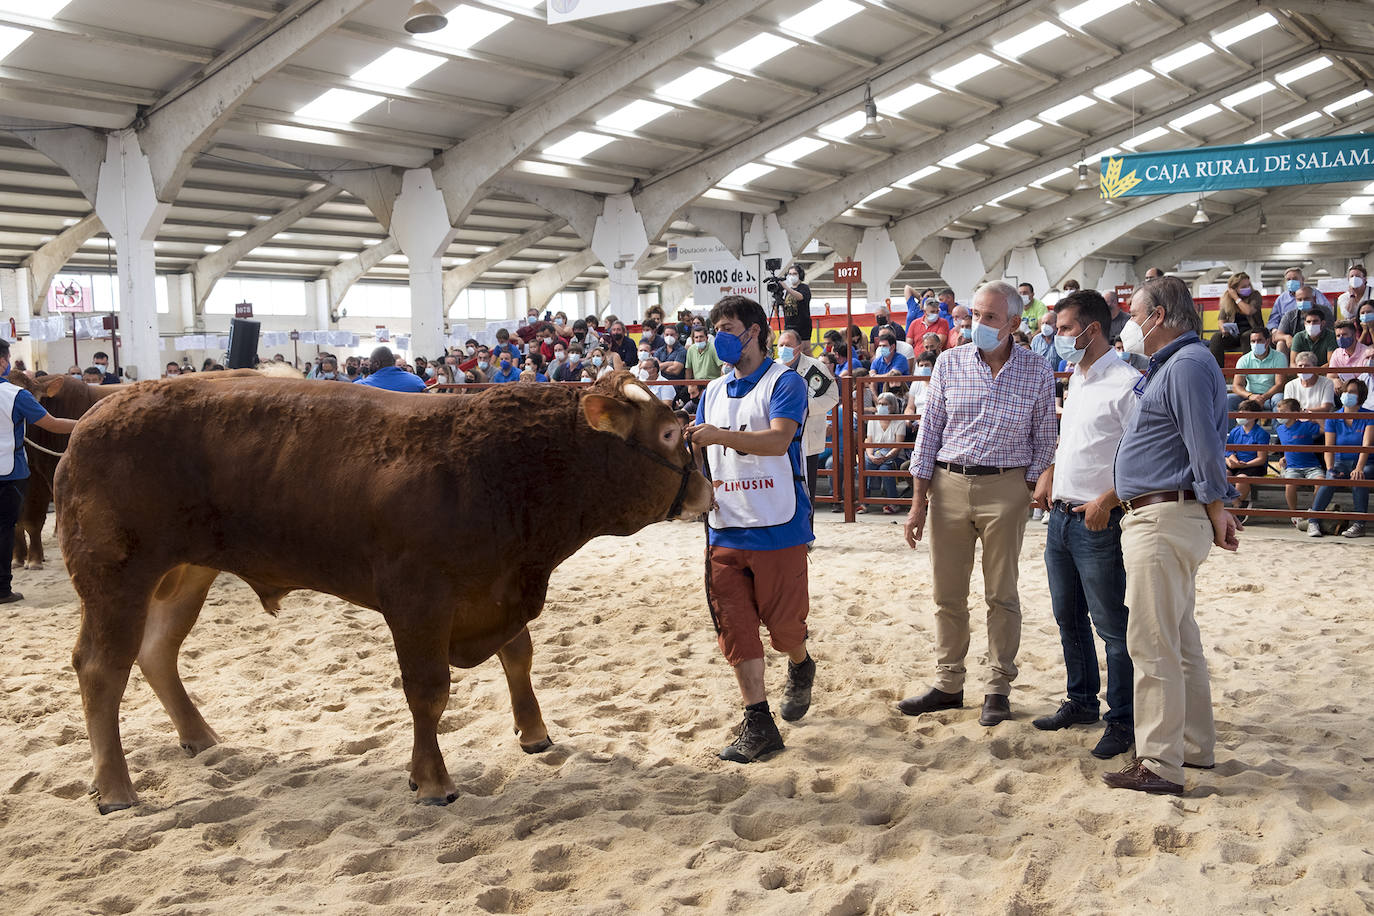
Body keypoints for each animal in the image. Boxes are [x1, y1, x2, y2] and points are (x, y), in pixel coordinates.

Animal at [57, 368, 714, 813]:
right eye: (670, 431)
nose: (708, 493)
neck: (498, 464)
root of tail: (95, 414)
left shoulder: (496, 586)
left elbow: (519, 656)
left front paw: (534, 733)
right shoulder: (417, 599)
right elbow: (428, 691)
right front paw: (432, 780)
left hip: (185, 574)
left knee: (156, 652)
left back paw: (200, 737)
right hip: (114, 576)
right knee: (101, 668)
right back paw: (115, 787)